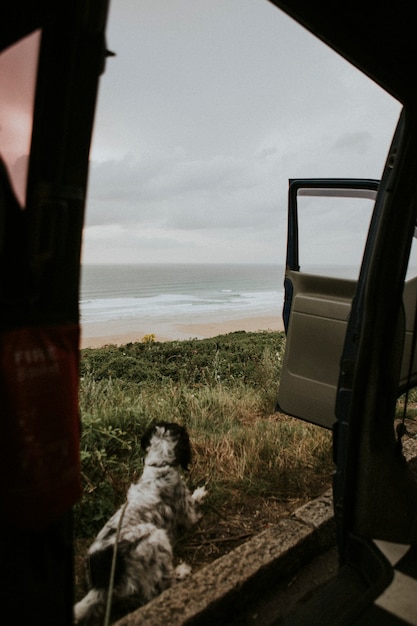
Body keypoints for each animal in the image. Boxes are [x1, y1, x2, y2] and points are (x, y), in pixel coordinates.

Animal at [74, 422, 207, 620]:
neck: (159, 468)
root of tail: (104, 582)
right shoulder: (188, 512)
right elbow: (194, 503)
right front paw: (200, 493)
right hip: (157, 537)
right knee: (162, 586)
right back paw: (182, 572)